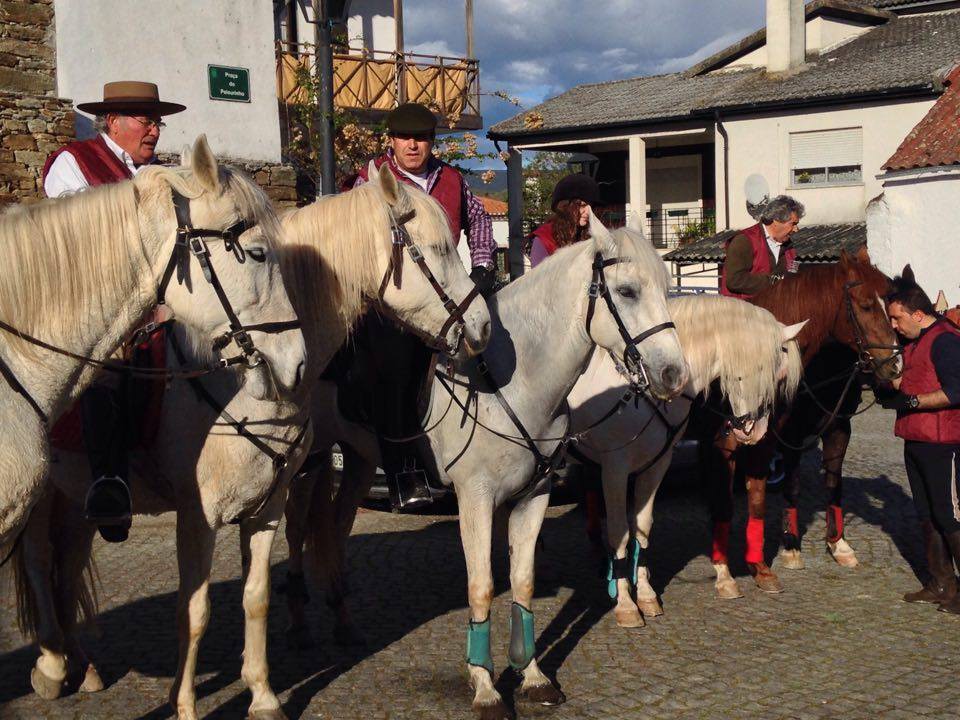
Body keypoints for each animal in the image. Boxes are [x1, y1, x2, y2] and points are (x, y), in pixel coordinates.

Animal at [286, 215, 688, 720]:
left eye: (666, 289)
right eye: (628, 291)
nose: (675, 375)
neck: (511, 381)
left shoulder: (534, 496)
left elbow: (522, 581)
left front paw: (531, 674)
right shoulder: (474, 499)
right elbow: (481, 586)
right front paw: (484, 685)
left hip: (357, 462)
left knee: (335, 529)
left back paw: (343, 620)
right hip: (306, 465)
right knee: (297, 532)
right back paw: (300, 623)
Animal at [568, 296, 804, 628]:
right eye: (766, 368)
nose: (756, 430)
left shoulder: (657, 464)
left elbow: (643, 527)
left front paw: (646, 595)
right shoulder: (615, 468)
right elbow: (619, 532)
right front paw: (626, 603)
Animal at [696, 245, 900, 600]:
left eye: (892, 302)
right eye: (864, 305)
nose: (892, 366)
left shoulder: (822, 431)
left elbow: (817, 486)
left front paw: (835, 546)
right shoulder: (734, 444)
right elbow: (733, 502)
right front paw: (728, 571)